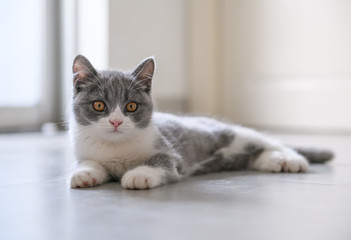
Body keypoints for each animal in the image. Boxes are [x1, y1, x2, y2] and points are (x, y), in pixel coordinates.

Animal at [68, 54, 332, 189]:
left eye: (131, 106)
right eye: (99, 105)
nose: (115, 122)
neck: (116, 148)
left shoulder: (171, 154)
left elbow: (162, 162)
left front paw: (139, 174)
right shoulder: (87, 151)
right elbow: (90, 163)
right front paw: (85, 174)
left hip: (226, 133)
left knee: (270, 141)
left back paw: (292, 159)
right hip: (231, 157)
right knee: (255, 154)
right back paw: (275, 162)